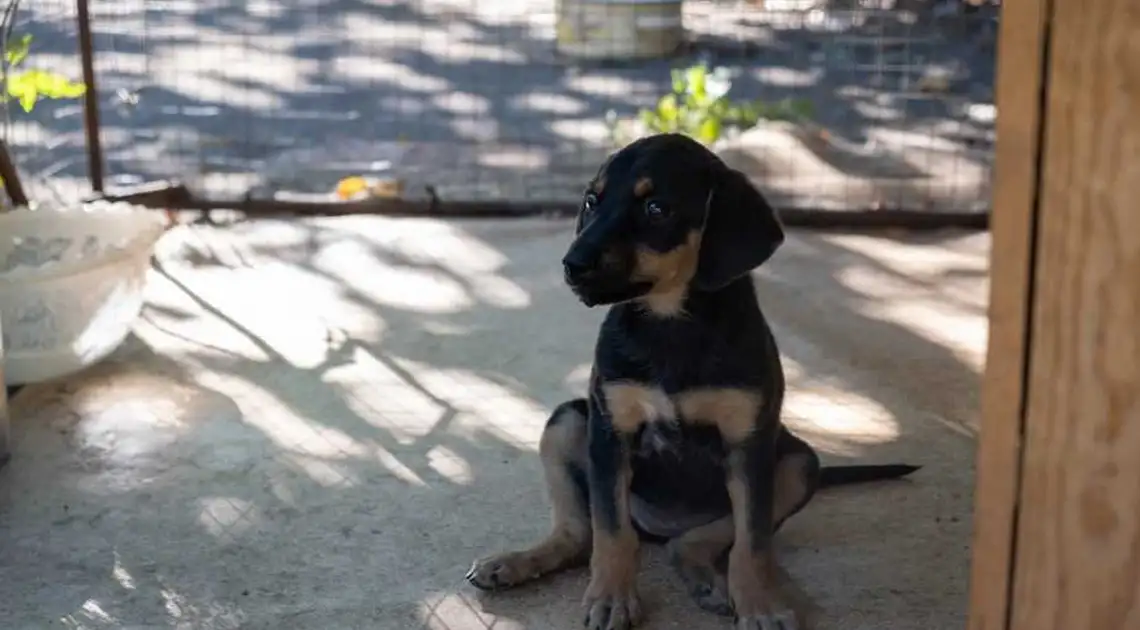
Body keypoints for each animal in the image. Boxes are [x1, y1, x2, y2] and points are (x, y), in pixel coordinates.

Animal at [462, 132, 916, 628]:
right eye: (591, 201)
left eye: (656, 208)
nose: (572, 263)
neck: (671, 324)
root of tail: (663, 527)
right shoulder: (611, 433)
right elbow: (612, 532)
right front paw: (611, 597)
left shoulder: (749, 444)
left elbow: (752, 542)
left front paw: (760, 605)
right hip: (568, 422)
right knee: (581, 534)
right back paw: (514, 563)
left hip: (797, 464)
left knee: (699, 540)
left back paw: (707, 580)